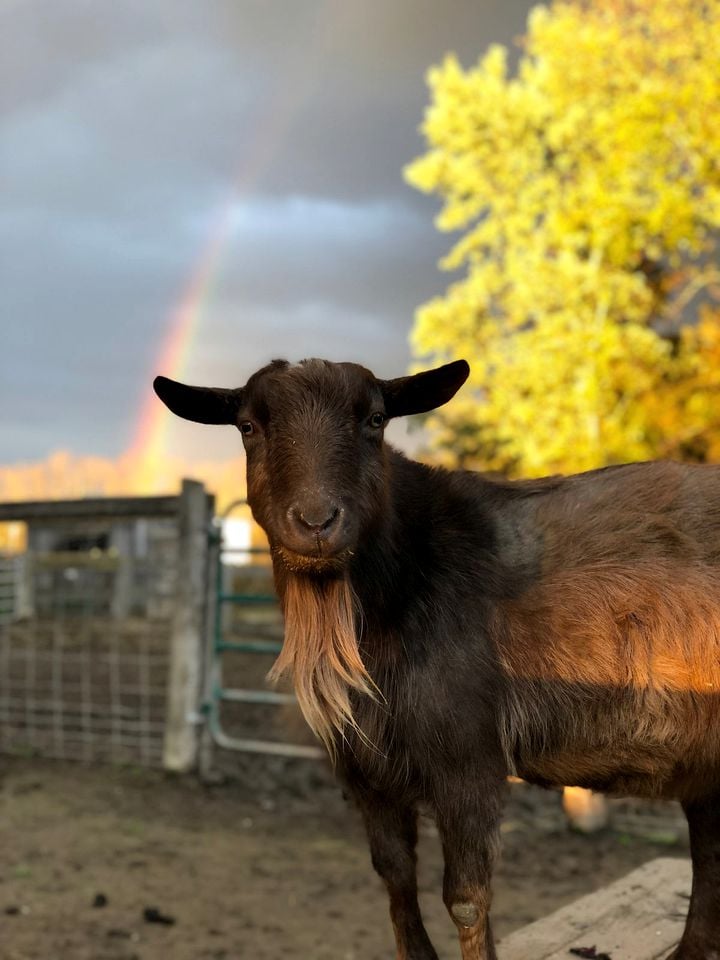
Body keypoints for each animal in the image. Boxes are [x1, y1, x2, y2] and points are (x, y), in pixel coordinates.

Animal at [155, 358, 716, 960]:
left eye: (375, 419)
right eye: (247, 426)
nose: (316, 522)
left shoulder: (468, 755)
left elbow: (466, 898)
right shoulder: (365, 769)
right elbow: (395, 877)